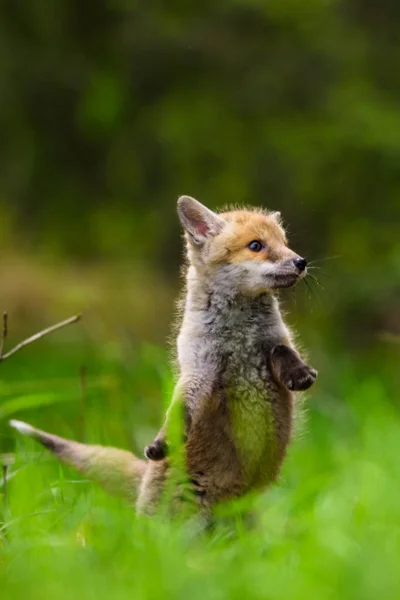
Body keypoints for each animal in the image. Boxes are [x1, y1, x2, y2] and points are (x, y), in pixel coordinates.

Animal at [9, 195, 318, 516]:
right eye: (256, 245)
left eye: (285, 242)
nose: (301, 262)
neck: (239, 332)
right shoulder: (198, 368)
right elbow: (178, 410)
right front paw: (162, 442)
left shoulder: (273, 340)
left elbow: (283, 350)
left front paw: (299, 373)